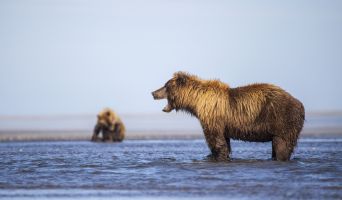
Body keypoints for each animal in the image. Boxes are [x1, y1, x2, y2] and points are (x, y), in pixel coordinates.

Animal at [152, 72, 304, 161]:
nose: (153, 93)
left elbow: (215, 140)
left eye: (165, 85)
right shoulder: (222, 124)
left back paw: (280, 158)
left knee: (282, 145)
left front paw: (217, 156)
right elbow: (224, 139)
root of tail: (299, 103)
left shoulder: (212, 116)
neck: (197, 101)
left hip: (282, 119)